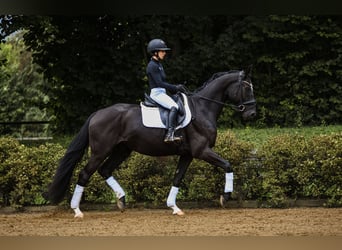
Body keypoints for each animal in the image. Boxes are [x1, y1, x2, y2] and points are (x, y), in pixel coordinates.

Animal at [43, 69, 256, 217]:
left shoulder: (187, 154)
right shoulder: (201, 150)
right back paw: (77, 211)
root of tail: (97, 113)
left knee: (105, 170)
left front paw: (174, 207)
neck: (203, 108)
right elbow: (228, 165)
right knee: (85, 174)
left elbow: (177, 178)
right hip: (100, 151)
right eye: (246, 88)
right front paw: (225, 197)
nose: (251, 114)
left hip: (122, 150)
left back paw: (121, 200)